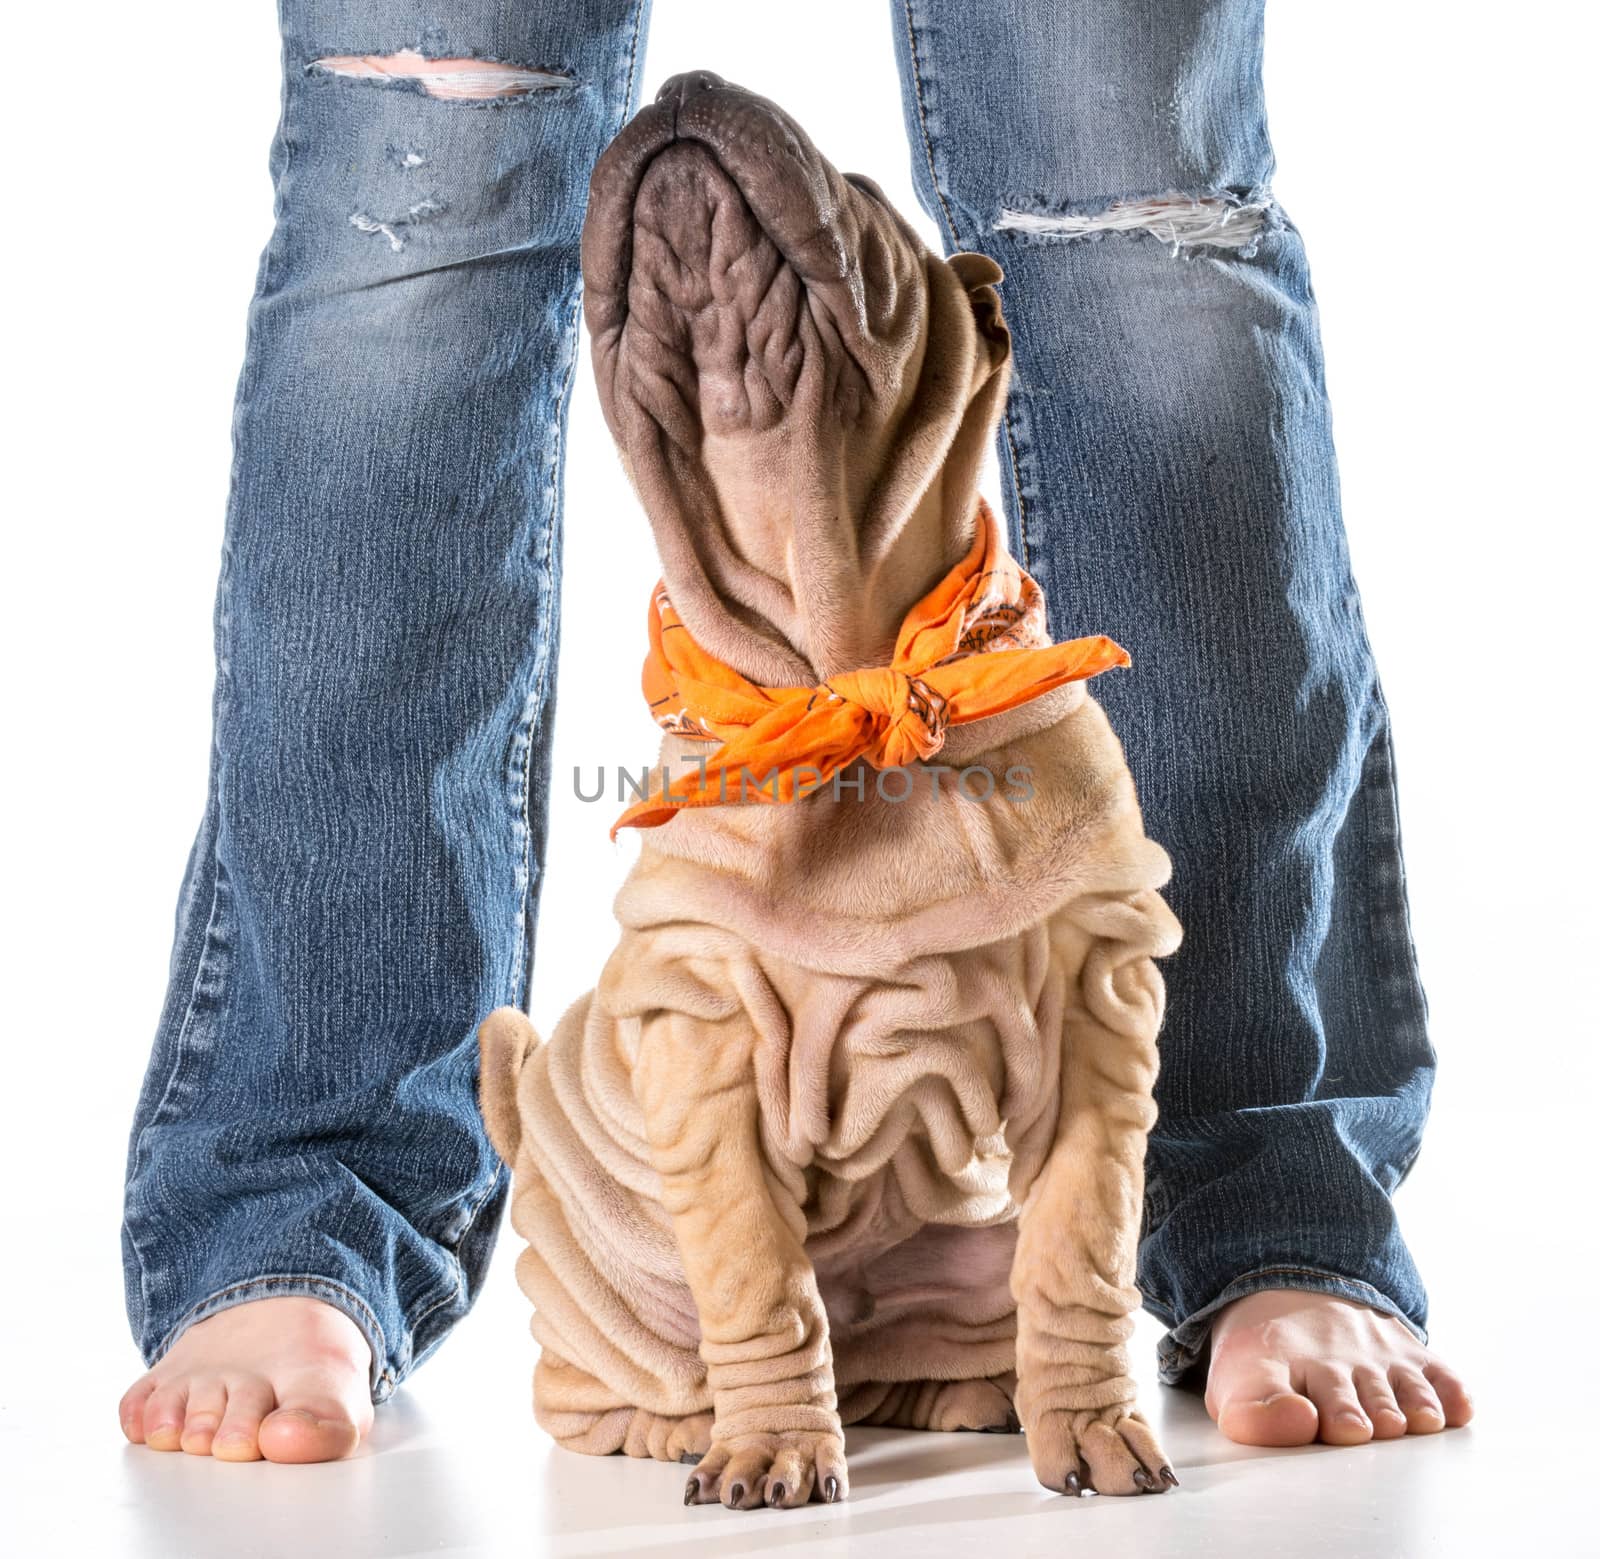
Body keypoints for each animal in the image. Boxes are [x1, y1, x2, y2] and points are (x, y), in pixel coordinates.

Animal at [480, 70, 1184, 1510]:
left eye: (861, 195)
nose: (685, 87)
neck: (846, 659)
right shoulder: (700, 1037)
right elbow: (758, 1272)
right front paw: (768, 1449)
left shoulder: (1102, 1004)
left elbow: (1082, 1249)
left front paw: (1091, 1426)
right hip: (606, 1283)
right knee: (608, 1376)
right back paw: (684, 1426)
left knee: (933, 1336)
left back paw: (964, 1392)